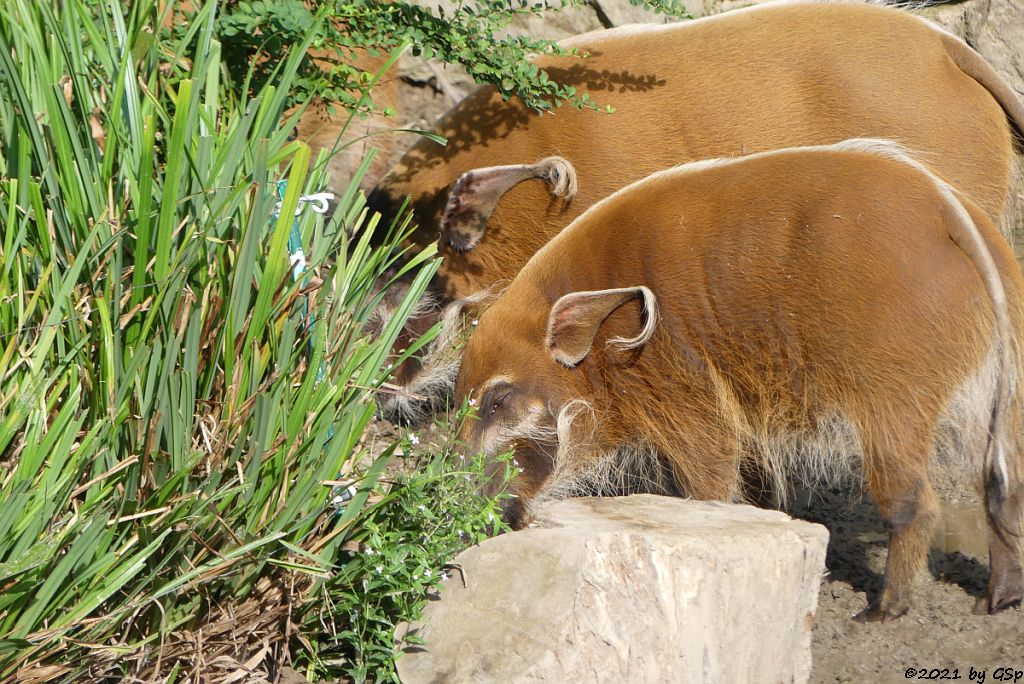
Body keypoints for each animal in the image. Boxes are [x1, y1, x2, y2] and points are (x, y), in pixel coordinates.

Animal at [456, 139, 1024, 618]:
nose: (472, 518)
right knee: (1002, 484)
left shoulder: (686, 399)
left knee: (915, 502)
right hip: (997, 387)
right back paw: (997, 600)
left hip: (894, 394)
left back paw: (883, 611)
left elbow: (707, 482)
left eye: (498, 401)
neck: (602, 345)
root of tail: (949, 209)